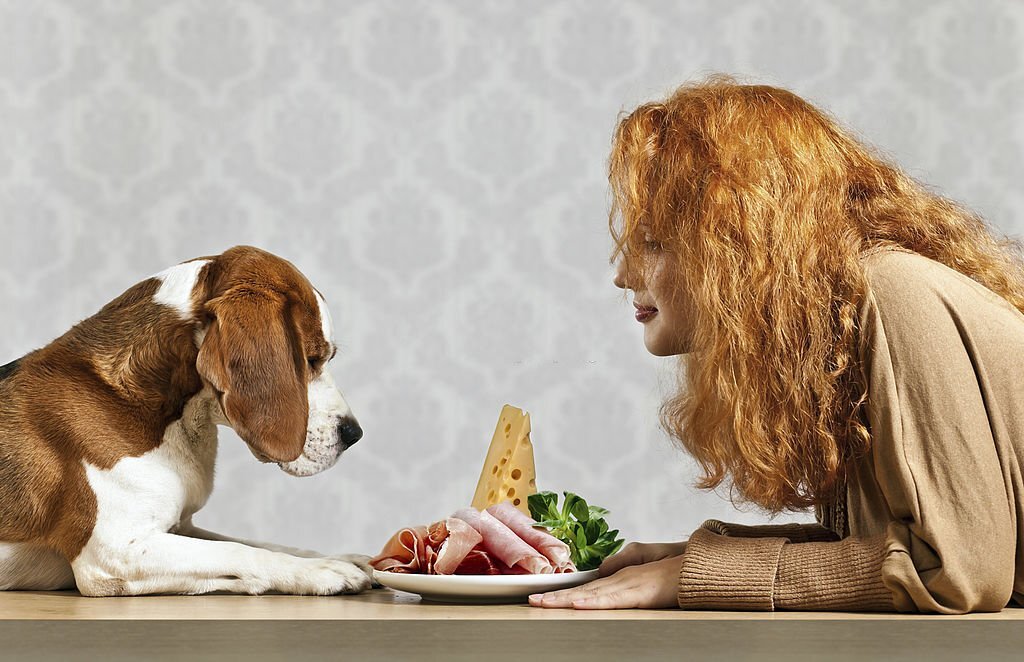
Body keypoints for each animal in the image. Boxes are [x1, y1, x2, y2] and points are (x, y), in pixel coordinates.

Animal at [0, 247, 372, 598]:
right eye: (312, 359)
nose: (354, 434)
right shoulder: (114, 553)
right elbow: (240, 552)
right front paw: (322, 570)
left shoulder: (182, 527)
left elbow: (258, 542)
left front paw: (340, 557)